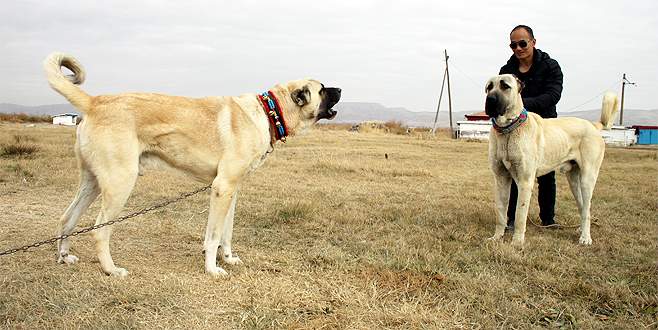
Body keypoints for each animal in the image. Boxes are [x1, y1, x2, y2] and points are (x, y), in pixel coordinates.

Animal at [43, 53, 340, 276]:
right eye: (322, 89)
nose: (340, 89)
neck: (270, 112)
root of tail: (94, 102)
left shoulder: (232, 190)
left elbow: (226, 232)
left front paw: (228, 258)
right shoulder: (222, 188)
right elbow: (213, 236)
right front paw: (212, 269)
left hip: (92, 182)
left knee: (66, 218)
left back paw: (64, 257)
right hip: (120, 183)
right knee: (100, 230)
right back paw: (111, 270)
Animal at [482, 74, 616, 245]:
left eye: (505, 86)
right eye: (489, 87)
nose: (490, 99)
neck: (508, 131)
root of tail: (593, 125)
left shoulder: (525, 182)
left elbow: (520, 215)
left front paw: (517, 242)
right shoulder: (500, 179)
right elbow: (500, 211)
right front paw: (497, 237)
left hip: (587, 178)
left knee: (587, 208)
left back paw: (585, 237)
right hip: (573, 180)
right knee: (582, 206)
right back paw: (581, 230)